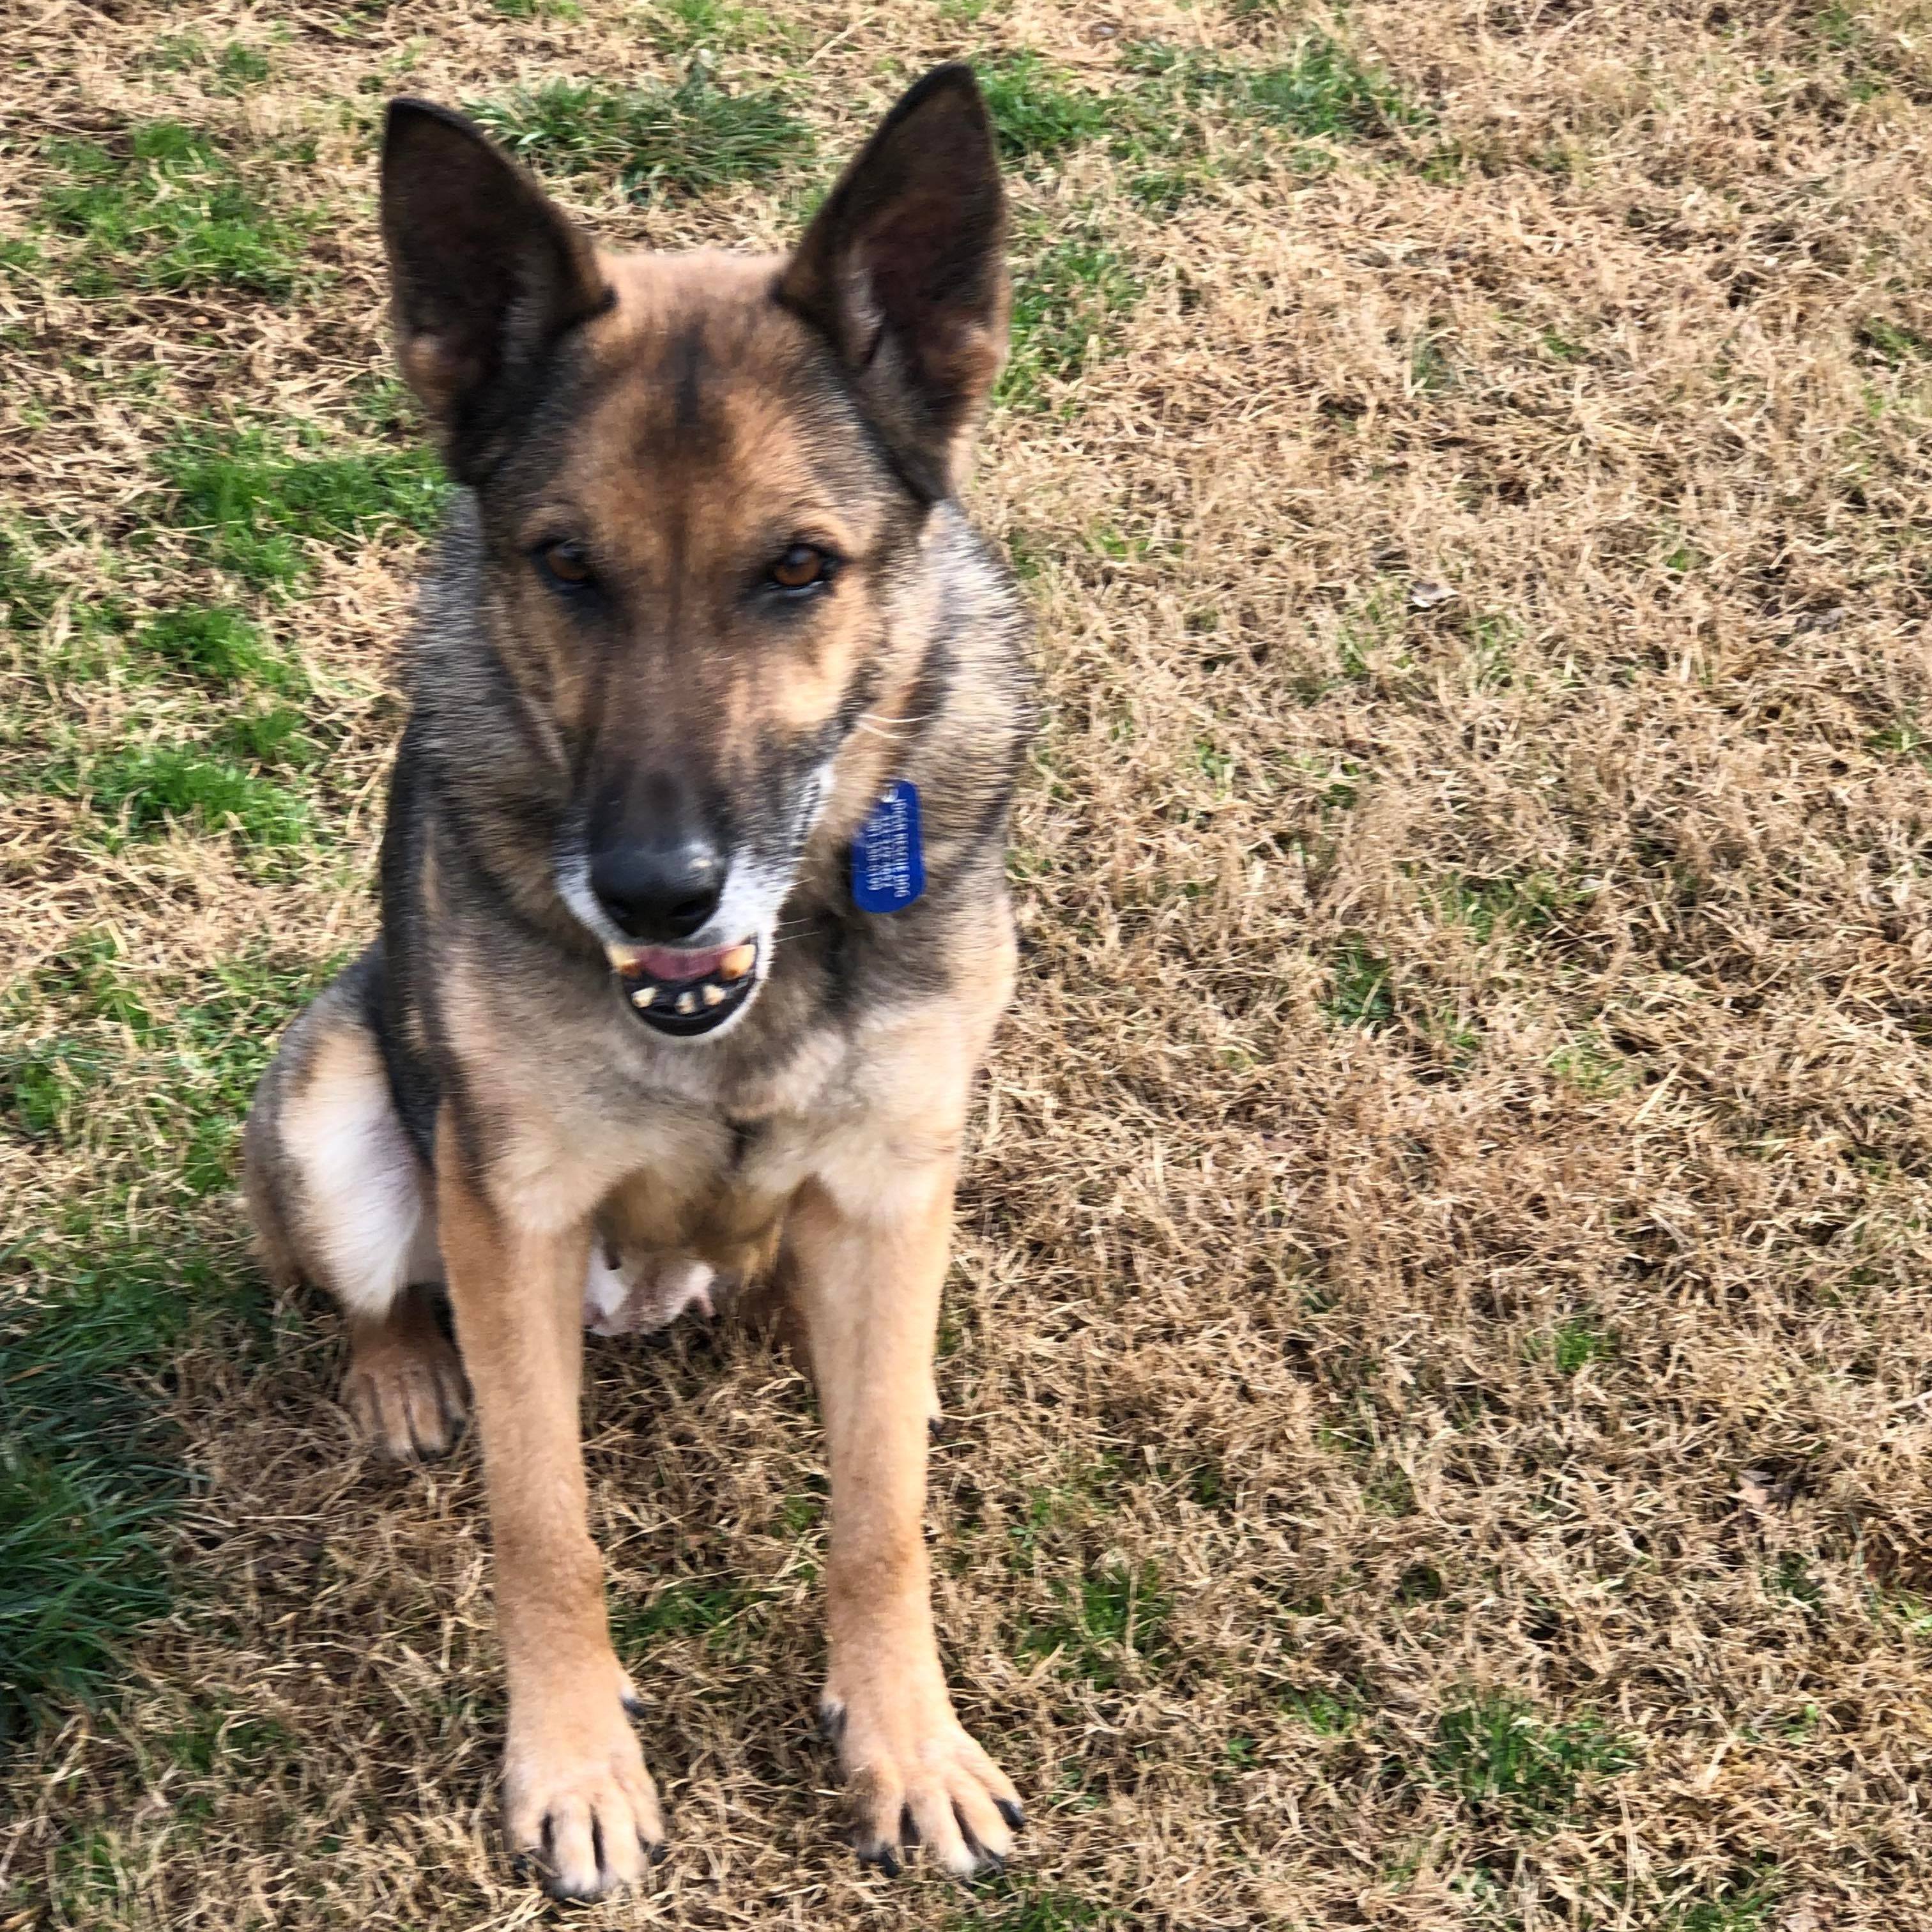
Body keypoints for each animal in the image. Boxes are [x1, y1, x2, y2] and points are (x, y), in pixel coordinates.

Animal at [243, 68, 1043, 1893]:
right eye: (567, 566)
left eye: (799, 569)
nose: (656, 888)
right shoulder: (517, 1211)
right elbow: (544, 1523)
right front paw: (577, 1765)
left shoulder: (890, 1178)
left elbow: (879, 1518)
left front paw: (908, 1743)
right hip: (332, 1097)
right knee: (377, 1292)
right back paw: (404, 1375)